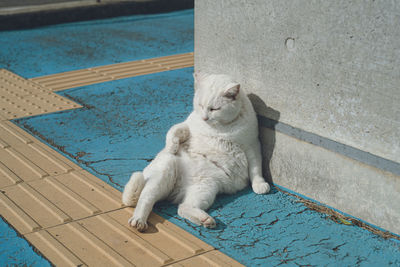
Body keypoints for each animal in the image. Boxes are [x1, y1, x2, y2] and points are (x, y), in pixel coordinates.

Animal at [122, 72, 270, 231]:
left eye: (214, 109)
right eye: (200, 105)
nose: (205, 118)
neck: (221, 128)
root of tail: (178, 190)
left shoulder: (252, 145)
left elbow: (256, 169)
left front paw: (259, 184)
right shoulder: (188, 127)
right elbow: (174, 130)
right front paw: (172, 147)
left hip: (205, 188)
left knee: (183, 208)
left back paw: (205, 220)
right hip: (164, 173)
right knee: (145, 199)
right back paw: (139, 221)